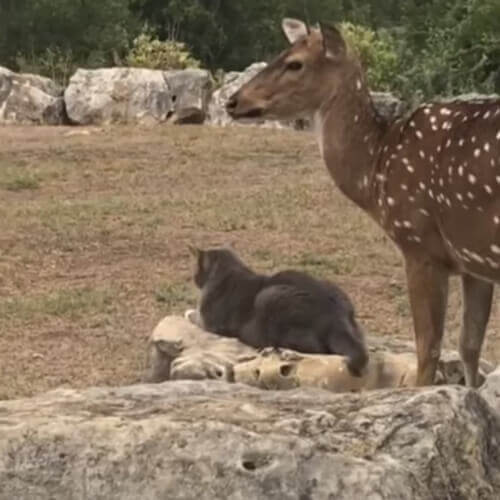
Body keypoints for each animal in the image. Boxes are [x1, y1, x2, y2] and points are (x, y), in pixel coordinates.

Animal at [187, 246, 368, 376]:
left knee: (318, 350)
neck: (227, 273)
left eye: (196, 271)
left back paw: (282, 351)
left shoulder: (208, 323)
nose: (194, 279)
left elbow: (192, 314)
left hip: (269, 297)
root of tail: (337, 317)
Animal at [225, 18, 500, 386]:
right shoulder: (472, 260)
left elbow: (428, 350)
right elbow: (469, 347)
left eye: (295, 63)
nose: (233, 101)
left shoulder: (419, 244)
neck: (376, 171)